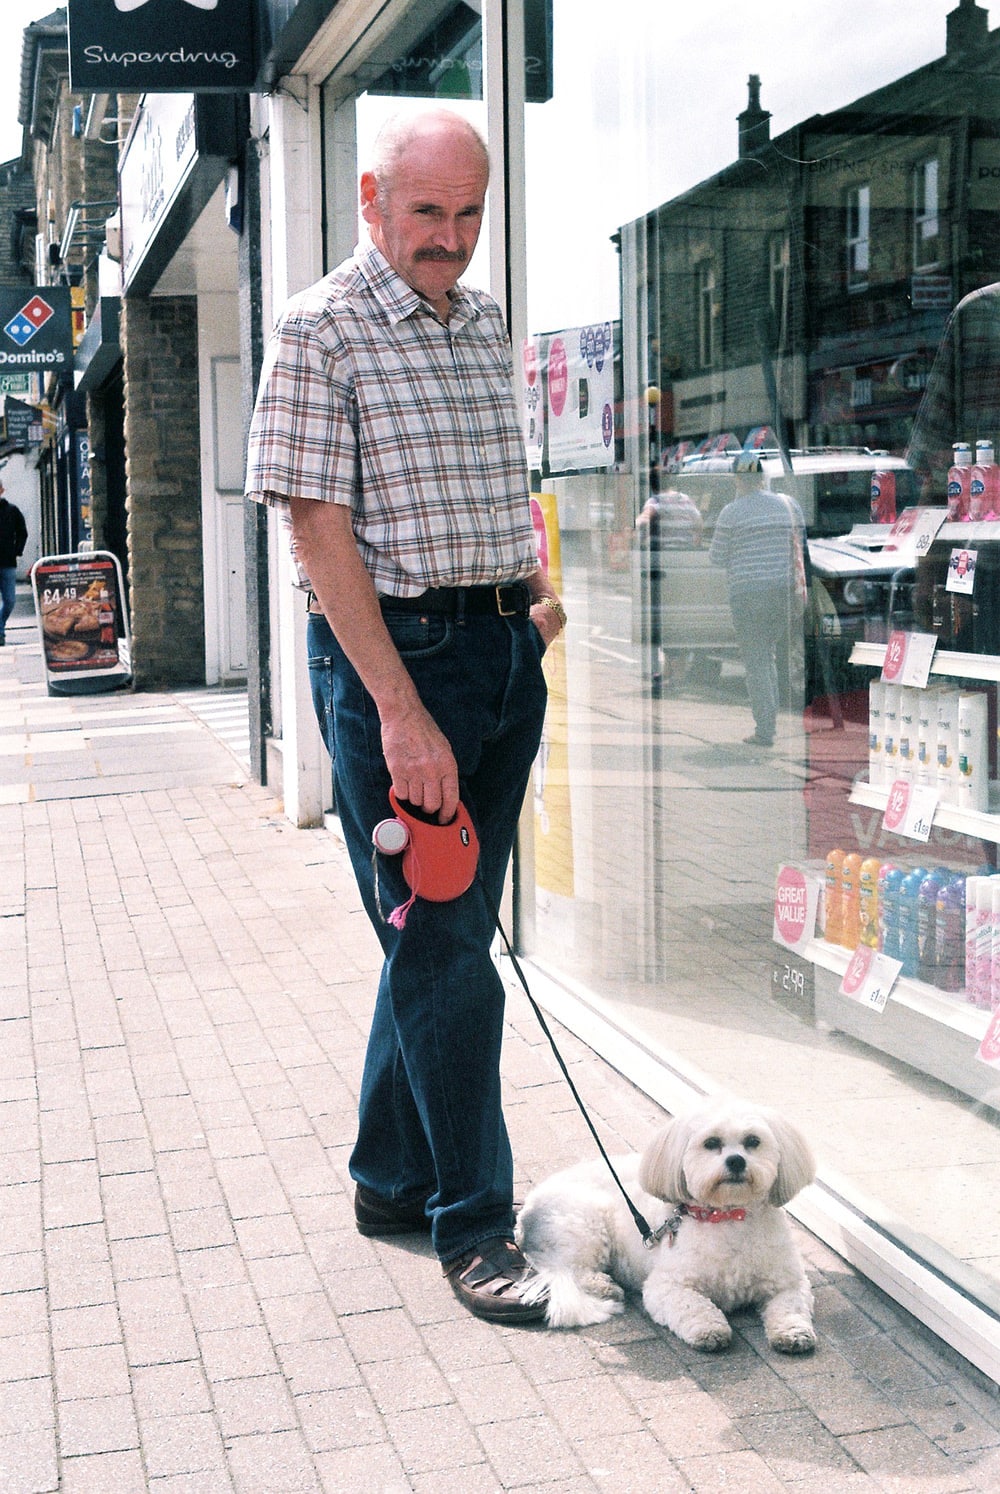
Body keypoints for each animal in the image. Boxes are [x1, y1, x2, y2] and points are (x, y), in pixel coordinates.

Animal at [520, 1099, 813, 1356]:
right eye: (711, 1143)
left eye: (753, 1141)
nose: (736, 1161)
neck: (729, 1216)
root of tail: (528, 1206)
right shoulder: (666, 1286)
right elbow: (693, 1305)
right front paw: (709, 1329)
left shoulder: (788, 1282)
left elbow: (791, 1306)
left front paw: (794, 1332)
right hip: (586, 1223)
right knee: (573, 1269)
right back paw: (604, 1284)